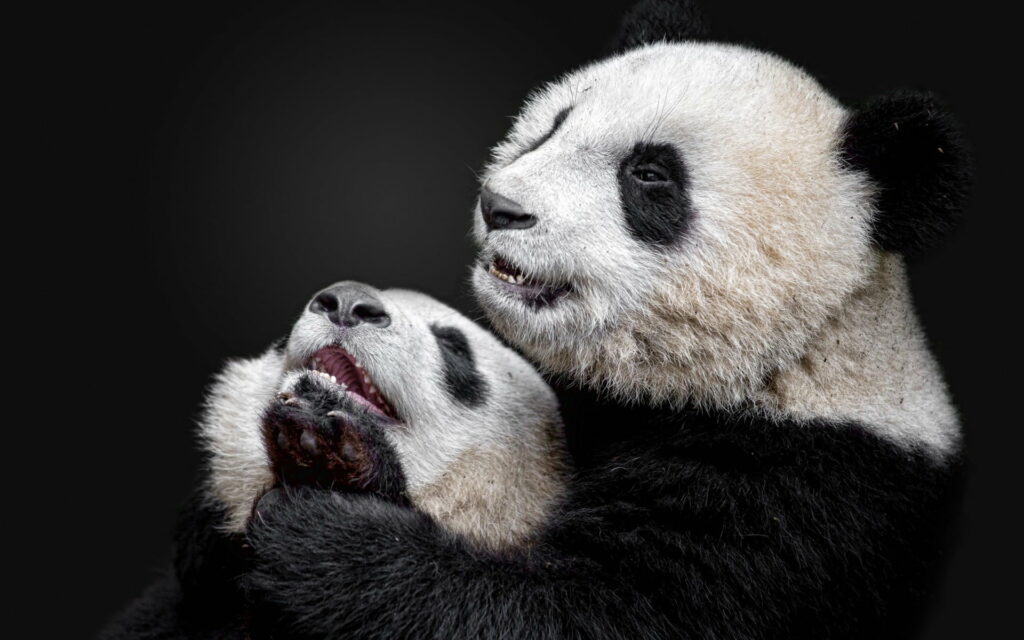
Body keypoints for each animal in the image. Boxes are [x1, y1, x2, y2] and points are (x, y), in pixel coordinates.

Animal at [233, 2, 971, 639]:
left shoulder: (797, 497)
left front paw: (328, 519)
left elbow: (586, 614)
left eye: (649, 175)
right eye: (554, 125)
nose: (501, 206)